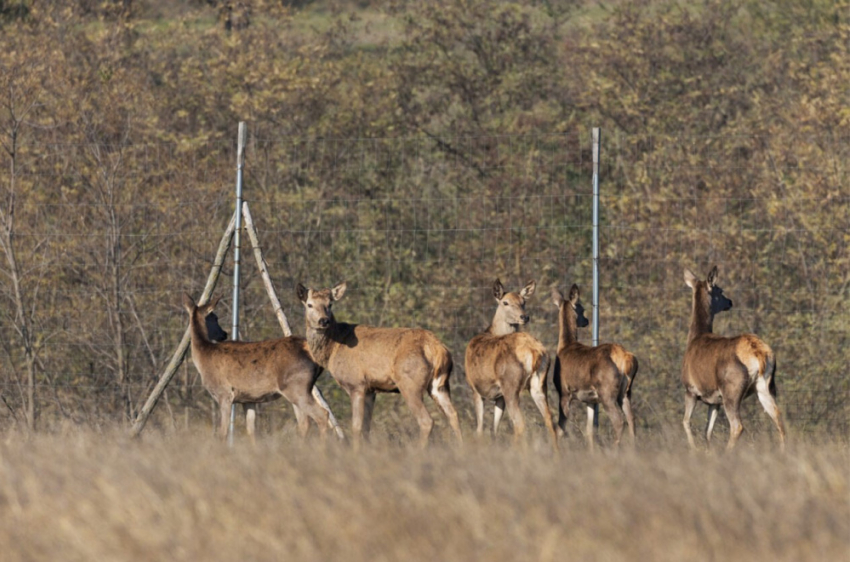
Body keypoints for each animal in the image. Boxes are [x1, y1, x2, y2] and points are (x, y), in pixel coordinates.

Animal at [184, 294, 336, 442]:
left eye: (215, 317)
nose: (224, 334)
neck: (204, 356)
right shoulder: (249, 399)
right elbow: (251, 432)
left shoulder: (224, 393)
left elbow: (223, 433)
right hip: (298, 389)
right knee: (304, 423)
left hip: (296, 386)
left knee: (322, 415)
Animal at [294, 282, 460, 448]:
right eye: (309, 304)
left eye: (330, 304)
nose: (324, 321)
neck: (333, 349)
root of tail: (437, 349)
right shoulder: (370, 389)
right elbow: (366, 427)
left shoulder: (356, 384)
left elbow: (356, 426)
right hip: (439, 385)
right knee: (453, 414)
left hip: (410, 382)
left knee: (427, 421)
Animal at [460, 278, 560, 450]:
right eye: (505, 302)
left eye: (523, 301)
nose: (524, 317)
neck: (491, 331)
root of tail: (535, 351)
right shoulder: (499, 396)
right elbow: (494, 429)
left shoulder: (475, 388)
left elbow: (480, 429)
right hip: (540, 383)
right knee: (549, 419)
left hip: (511, 383)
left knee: (520, 424)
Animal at [548, 282, 636, 448]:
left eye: (582, 308)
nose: (587, 320)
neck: (564, 346)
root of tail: (624, 357)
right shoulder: (590, 399)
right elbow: (589, 432)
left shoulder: (564, 391)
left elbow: (560, 429)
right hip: (625, 392)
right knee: (631, 420)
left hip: (607, 391)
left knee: (619, 421)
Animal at [680, 264, 784, 450]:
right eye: (720, 291)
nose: (729, 302)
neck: (695, 337)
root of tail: (760, 354)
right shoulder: (714, 400)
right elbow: (707, 431)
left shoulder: (690, 389)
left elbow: (686, 422)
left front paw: (694, 449)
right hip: (766, 386)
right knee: (779, 417)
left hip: (732, 388)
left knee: (737, 425)